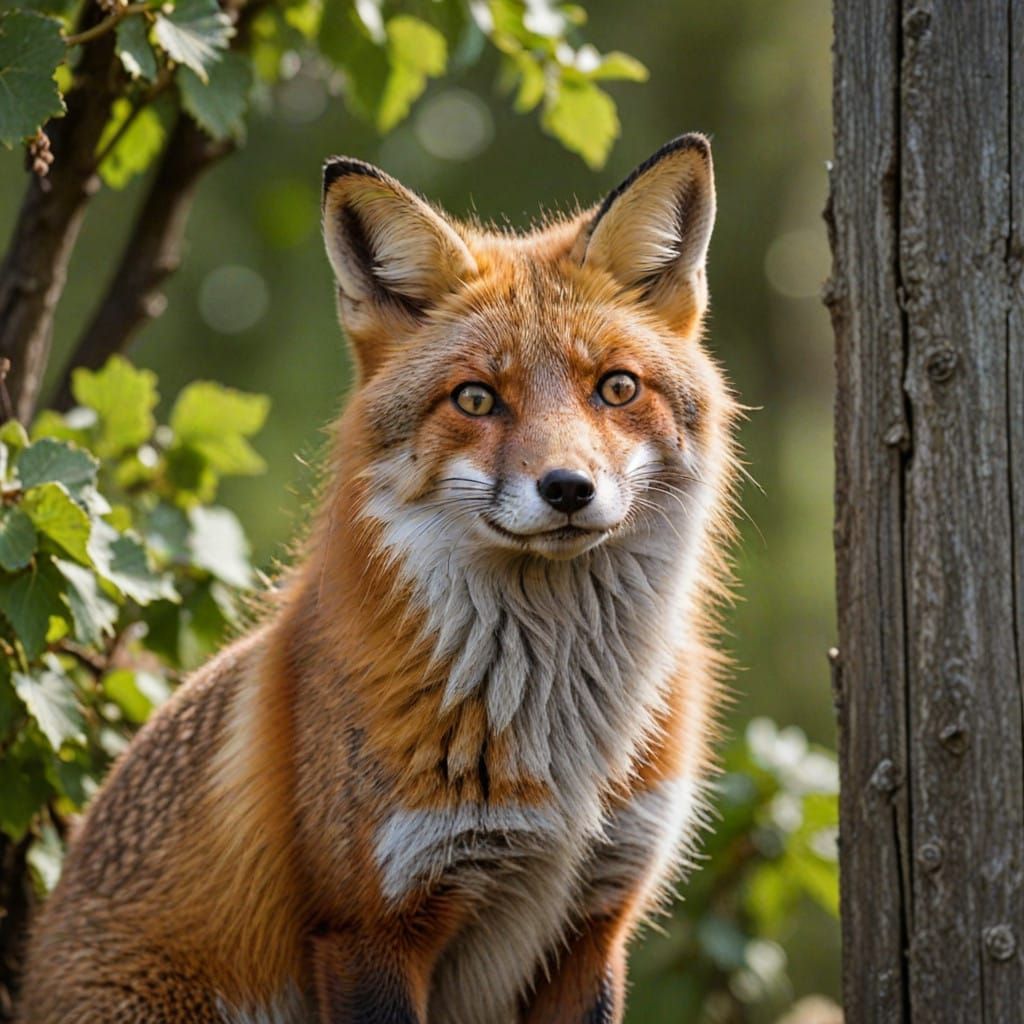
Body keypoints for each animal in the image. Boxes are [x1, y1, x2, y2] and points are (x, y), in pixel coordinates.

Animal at [18, 133, 739, 1023]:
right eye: (476, 399)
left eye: (616, 388)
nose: (569, 489)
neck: (562, 747)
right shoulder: (368, 926)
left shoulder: (595, 923)